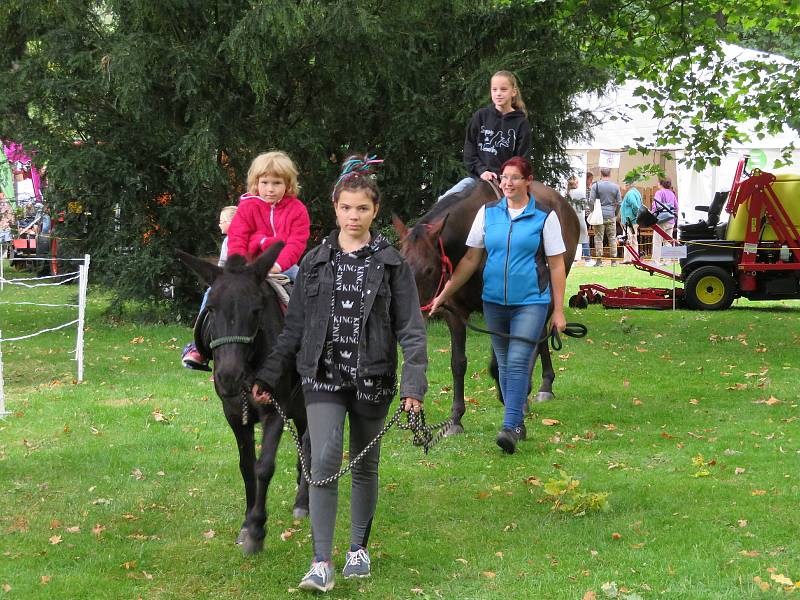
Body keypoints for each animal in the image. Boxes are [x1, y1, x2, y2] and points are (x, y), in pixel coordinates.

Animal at [178, 244, 310, 556]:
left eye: (256, 310)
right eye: (211, 309)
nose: (229, 377)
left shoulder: (276, 410)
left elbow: (264, 467)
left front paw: (258, 530)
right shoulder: (235, 415)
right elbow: (247, 466)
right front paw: (246, 525)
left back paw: (303, 502)